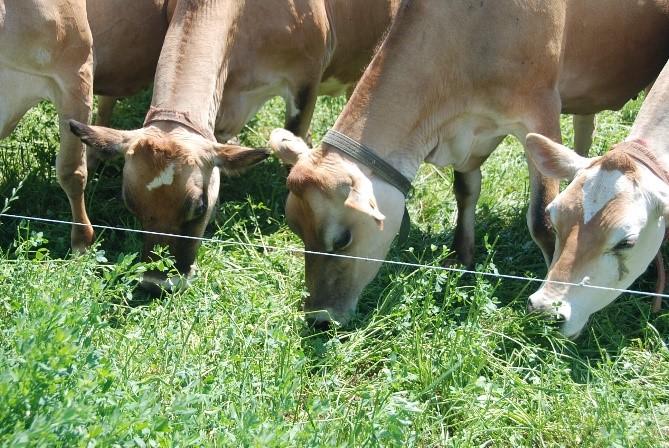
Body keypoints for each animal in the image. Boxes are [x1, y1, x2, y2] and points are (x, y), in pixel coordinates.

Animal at [268, 1, 664, 328]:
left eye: (342, 239)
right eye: (294, 227)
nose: (319, 317)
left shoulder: (540, 112)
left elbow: (541, 220)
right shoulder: (467, 134)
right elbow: (466, 191)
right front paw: (463, 257)